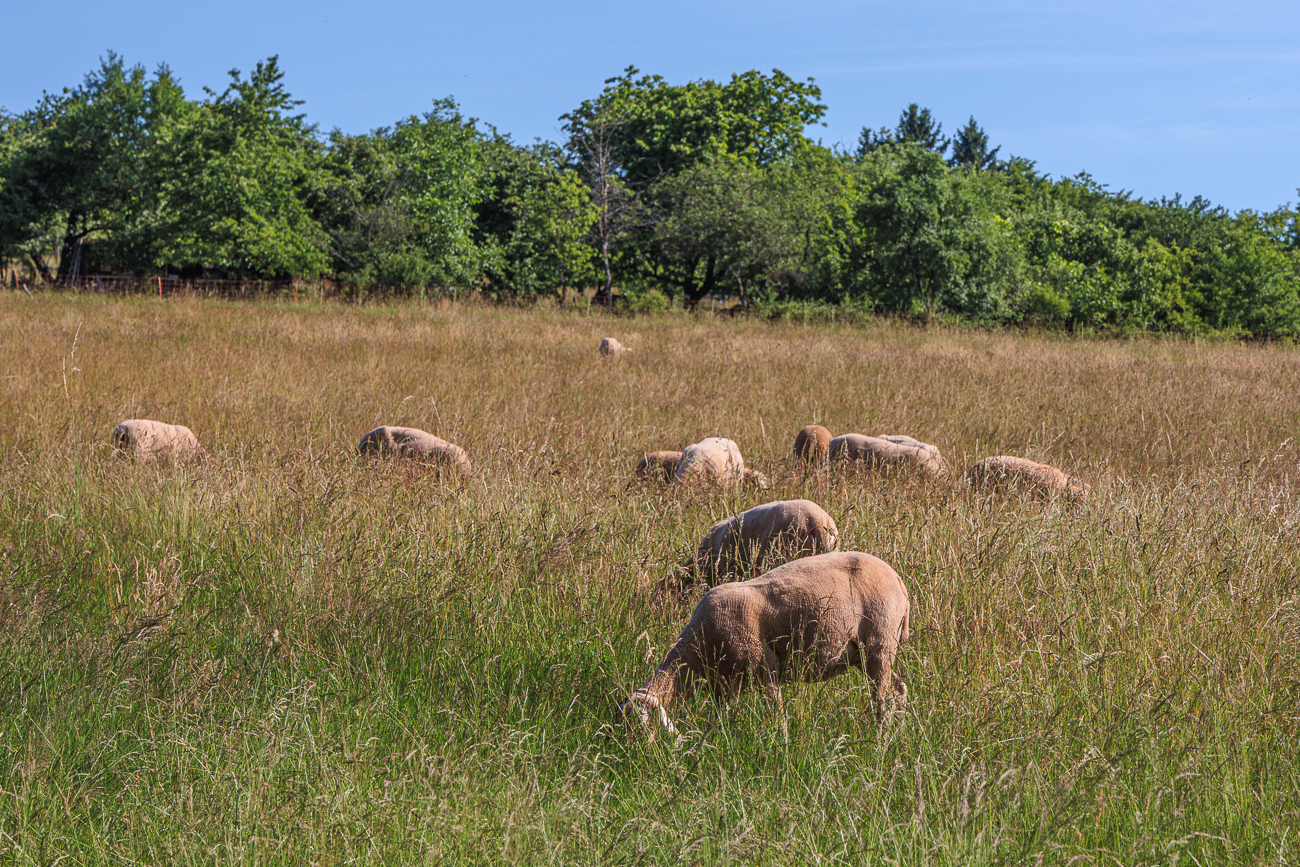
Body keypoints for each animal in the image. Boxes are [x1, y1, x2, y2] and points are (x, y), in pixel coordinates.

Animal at [618, 552, 911, 739]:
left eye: (644, 725)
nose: (639, 757)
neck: (694, 653)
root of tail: (899, 581)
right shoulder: (724, 686)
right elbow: (716, 721)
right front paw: (708, 746)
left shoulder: (764, 669)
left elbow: (776, 715)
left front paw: (781, 747)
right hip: (868, 654)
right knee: (899, 688)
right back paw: (898, 730)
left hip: (879, 642)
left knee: (882, 700)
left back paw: (880, 739)